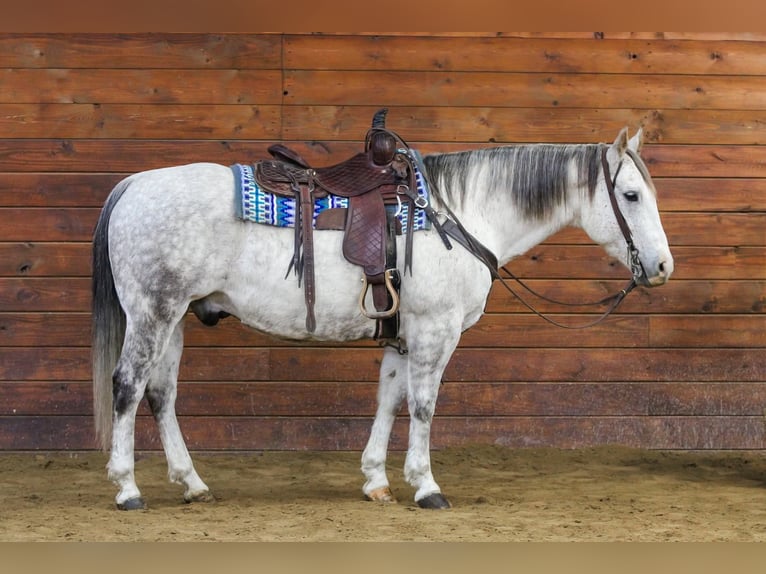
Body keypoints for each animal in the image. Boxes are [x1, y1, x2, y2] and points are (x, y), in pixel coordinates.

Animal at [92, 127, 673, 510]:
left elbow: (389, 401)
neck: (457, 213)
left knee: (160, 394)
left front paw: (377, 480)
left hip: (175, 318)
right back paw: (126, 488)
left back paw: (191, 483)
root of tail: (134, 185)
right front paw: (427, 486)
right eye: (630, 195)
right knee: (127, 386)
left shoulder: (403, 336)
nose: (663, 267)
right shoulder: (436, 332)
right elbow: (423, 406)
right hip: (152, 313)